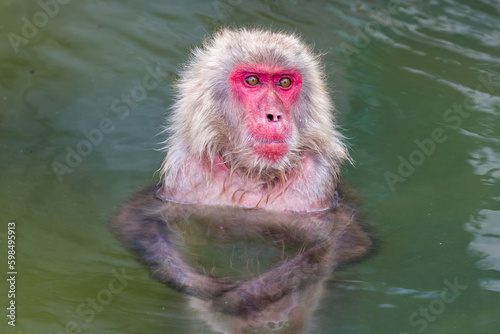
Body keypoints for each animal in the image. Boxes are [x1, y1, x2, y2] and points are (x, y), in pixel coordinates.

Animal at [110, 28, 376, 326]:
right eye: (252, 80)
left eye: (284, 82)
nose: (274, 115)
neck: (252, 174)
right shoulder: (183, 179)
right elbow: (132, 220)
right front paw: (202, 285)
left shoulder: (318, 185)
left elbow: (345, 243)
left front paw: (246, 295)